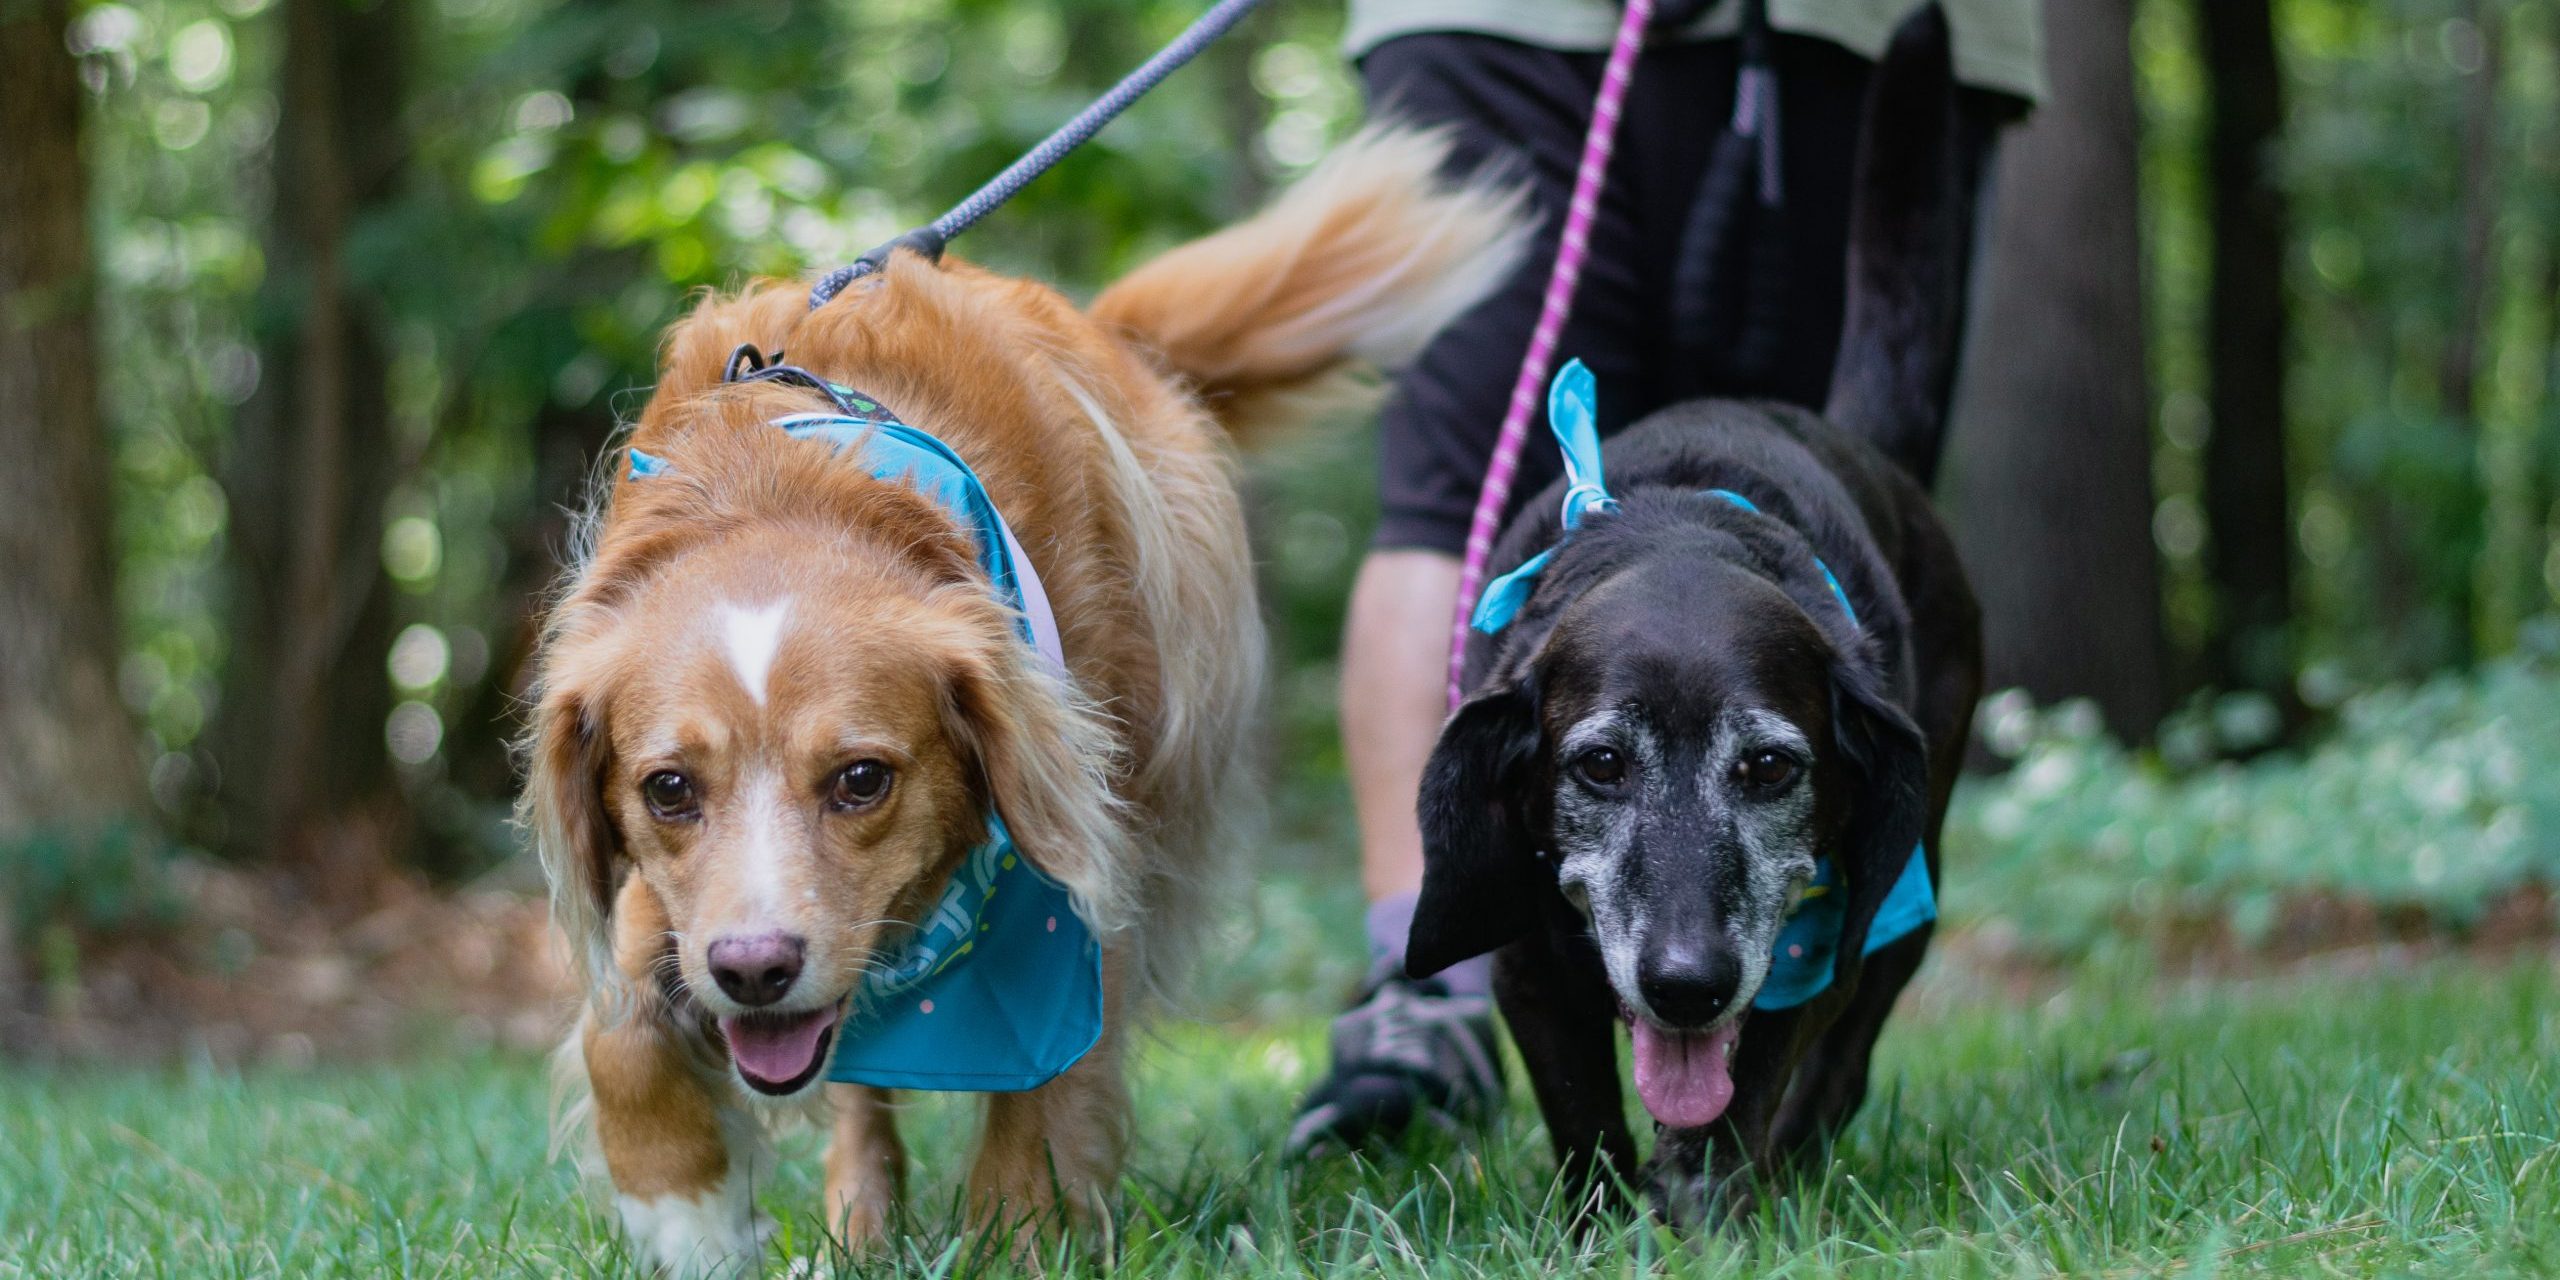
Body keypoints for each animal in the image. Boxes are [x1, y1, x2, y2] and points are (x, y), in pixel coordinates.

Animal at [522, 129, 1515, 1269]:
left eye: (862, 778)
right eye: (668, 788)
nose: (755, 970)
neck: (788, 488)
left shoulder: (1081, 883)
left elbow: (1040, 1105)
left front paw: (1012, 1243)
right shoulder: (681, 906)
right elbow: (622, 1020)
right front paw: (693, 1218)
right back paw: (859, 1222)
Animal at [1423, 5, 1976, 1223]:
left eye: (1769, 769)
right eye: (1598, 766)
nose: (1684, 984)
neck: (1677, 527)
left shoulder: (1813, 941)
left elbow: (1750, 1089)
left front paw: (1709, 1202)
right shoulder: (1529, 965)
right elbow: (1583, 1120)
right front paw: (1602, 1225)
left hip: (1911, 874)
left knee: (1844, 1064)